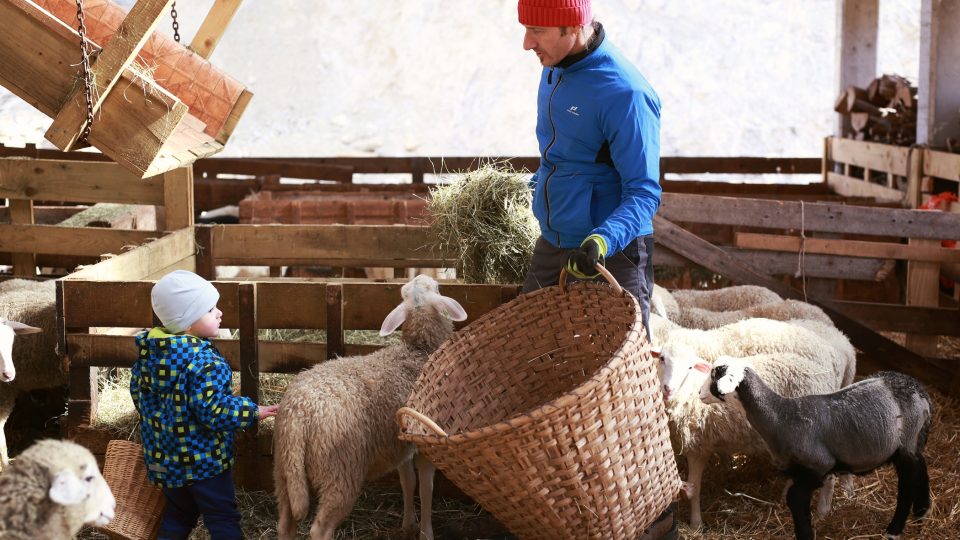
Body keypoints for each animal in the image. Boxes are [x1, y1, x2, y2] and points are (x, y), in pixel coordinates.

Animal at [272, 274, 466, 540]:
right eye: (436, 288)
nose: (421, 276)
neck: (418, 351)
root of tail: (298, 414)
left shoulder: (400, 444)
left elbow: (408, 481)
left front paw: (409, 524)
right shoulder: (425, 442)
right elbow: (426, 487)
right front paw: (426, 531)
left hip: (284, 471)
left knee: (285, 524)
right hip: (340, 471)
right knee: (320, 529)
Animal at [652, 316, 856, 528]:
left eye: (689, 367)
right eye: (662, 359)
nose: (668, 388)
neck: (690, 390)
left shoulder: (698, 445)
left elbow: (694, 489)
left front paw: (696, 524)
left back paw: (824, 511)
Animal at [700, 358, 932, 540]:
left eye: (714, 375)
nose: (699, 393)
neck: (780, 416)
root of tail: (920, 391)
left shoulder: (818, 466)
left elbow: (795, 498)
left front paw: (806, 533)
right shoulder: (798, 470)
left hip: (906, 443)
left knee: (908, 484)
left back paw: (895, 529)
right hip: (915, 441)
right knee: (921, 466)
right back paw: (921, 512)